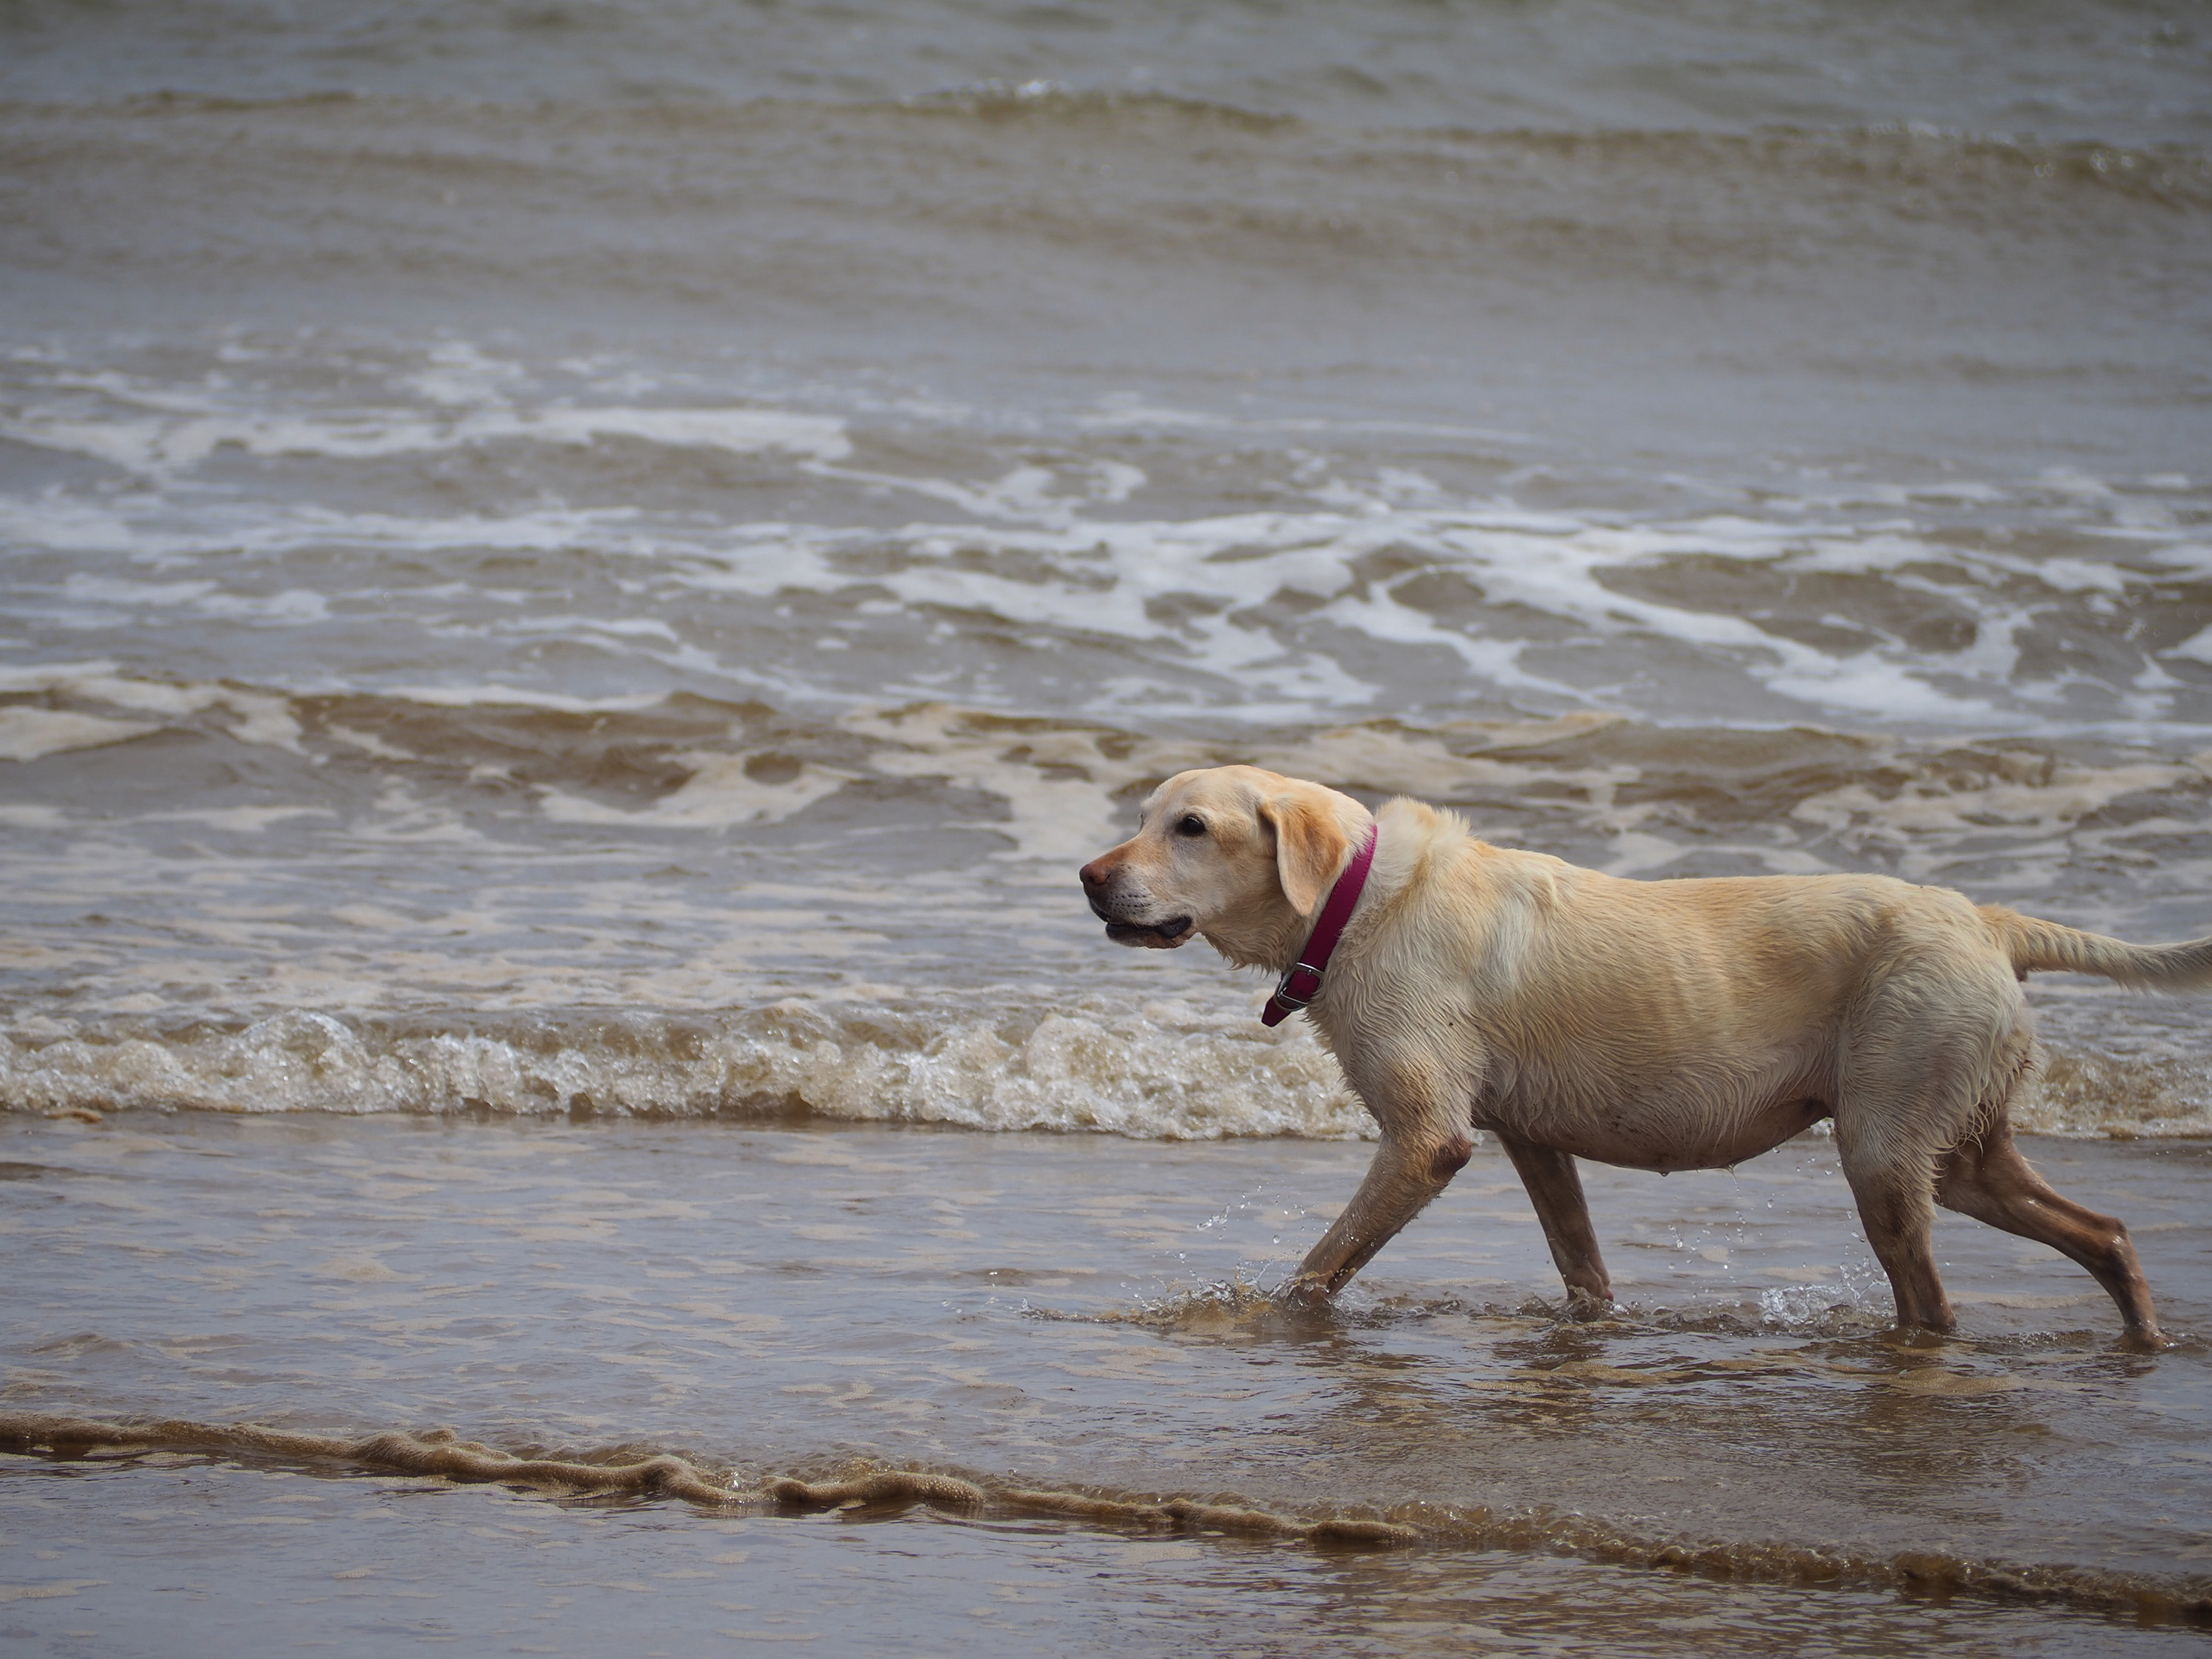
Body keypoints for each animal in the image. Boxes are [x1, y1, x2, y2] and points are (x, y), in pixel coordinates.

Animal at [1075, 765, 2212, 1354]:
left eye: (1190, 827)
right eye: (1143, 818)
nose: (1086, 877)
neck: (1358, 898)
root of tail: (1987, 918)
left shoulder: (1428, 1140)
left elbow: (1320, 1266)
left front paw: (1266, 1318)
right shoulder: (1533, 1142)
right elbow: (1583, 1267)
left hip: (1887, 1147)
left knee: (1932, 1298)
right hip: (1963, 1148)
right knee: (2104, 1231)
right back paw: (2145, 1339)